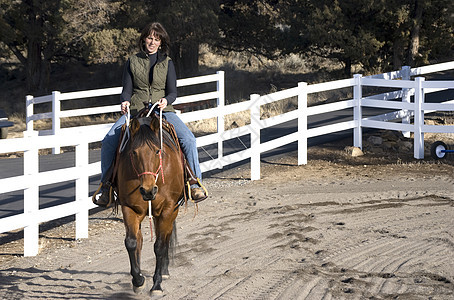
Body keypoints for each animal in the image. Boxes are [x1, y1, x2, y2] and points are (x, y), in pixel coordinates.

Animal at [116, 115, 185, 296]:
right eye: (134, 152)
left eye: (157, 151)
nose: (148, 190)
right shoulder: (129, 208)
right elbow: (132, 242)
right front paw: (138, 280)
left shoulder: (168, 209)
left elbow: (159, 246)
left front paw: (157, 284)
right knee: (141, 240)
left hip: (169, 212)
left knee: (166, 238)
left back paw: (164, 271)